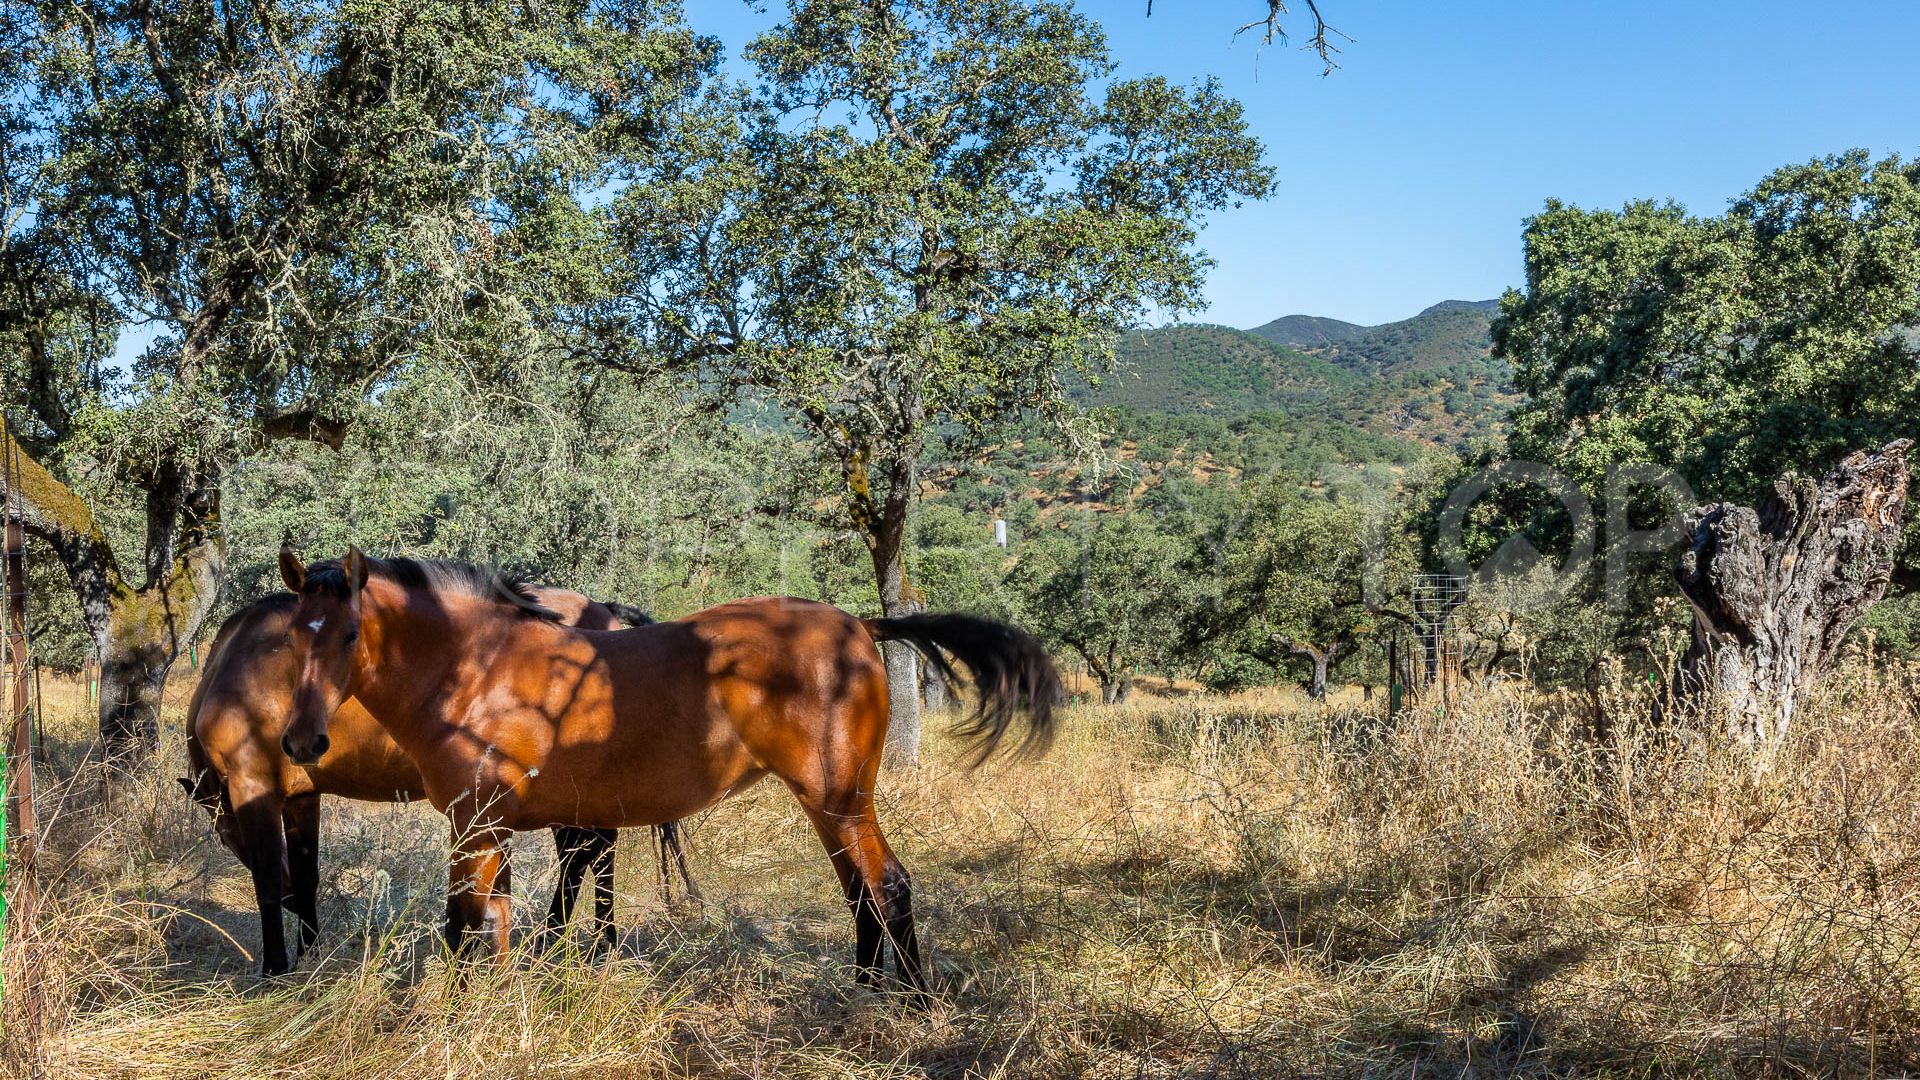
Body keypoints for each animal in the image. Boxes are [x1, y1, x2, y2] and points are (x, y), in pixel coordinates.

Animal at [183, 572, 695, 976]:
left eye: (227, 836)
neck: (239, 663)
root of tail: (604, 613)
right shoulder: (302, 797)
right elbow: (307, 878)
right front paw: (310, 955)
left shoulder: (255, 790)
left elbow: (268, 884)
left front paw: (276, 969)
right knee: (589, 853)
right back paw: (572, 942)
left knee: (586, 854)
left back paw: (579, 943)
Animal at [276, 541, 1059, 999]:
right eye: (290, 638)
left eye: (350, 633)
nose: (302, 742)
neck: (478, 669)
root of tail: (861, 626)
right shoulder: (492, 830)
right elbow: (485, 921)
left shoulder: (478, 827)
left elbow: (466, 923)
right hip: (829, 805)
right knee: (860, 889)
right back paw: (865, 989)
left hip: (839, 798)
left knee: (888, 884)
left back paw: (915, 1002)